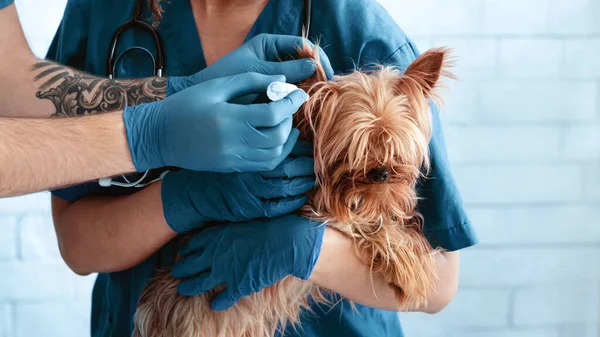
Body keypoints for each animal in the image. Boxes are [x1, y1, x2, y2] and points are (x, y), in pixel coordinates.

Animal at [134, 45, 452, 336]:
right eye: (354, 148)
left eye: (394, 145)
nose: (381, 173)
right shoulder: (328, 212)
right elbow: (371, 224)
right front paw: (413, 265)